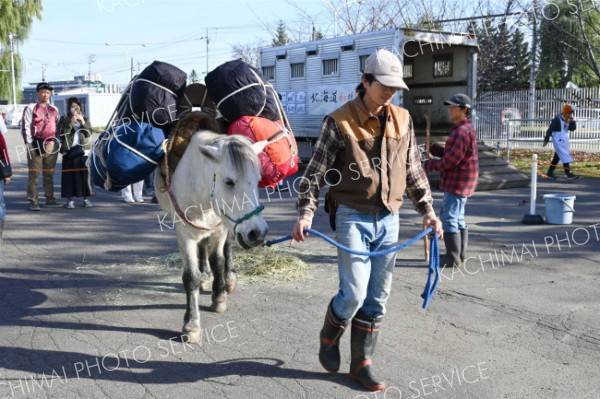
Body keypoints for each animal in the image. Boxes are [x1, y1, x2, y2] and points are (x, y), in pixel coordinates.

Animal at [156, 131, 268, 344]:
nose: (257, 233)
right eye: (229, 181)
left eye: (258, 180)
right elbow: (191, 276)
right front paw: (191, 325)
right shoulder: (184, 235)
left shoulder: (220, 229)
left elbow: (218, 261)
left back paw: (228, 278)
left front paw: (219, 297)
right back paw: (206, 276)